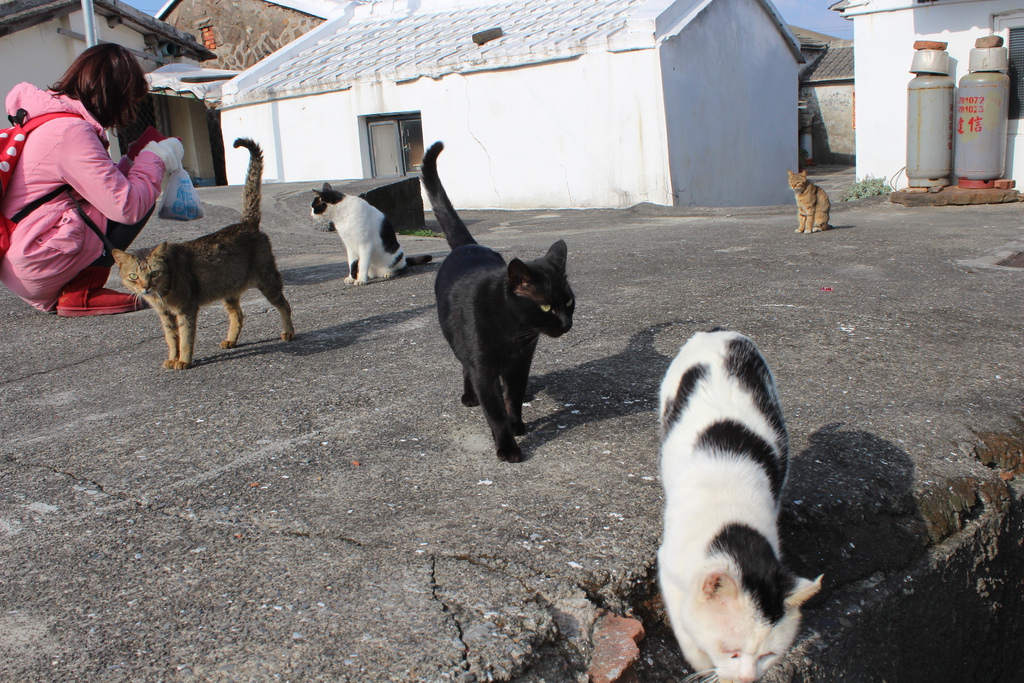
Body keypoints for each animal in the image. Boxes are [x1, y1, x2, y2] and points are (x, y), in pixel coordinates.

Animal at [419, 143, 573, 464]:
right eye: (545, 307)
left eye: (568, 302)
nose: (567, 324)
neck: (513, 329)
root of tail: (469, 245)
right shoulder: (483, 366)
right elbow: (495, 411)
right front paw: (507, 446)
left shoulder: (521, 362)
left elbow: (513, 397)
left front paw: (517, 424)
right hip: (457, 339)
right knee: (464, 365)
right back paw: (469, 396)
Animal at [655, 327, 823, 679]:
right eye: (730, 651)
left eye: (768, 655)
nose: (748, 678)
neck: (733, 525)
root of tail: (717, 331)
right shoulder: (669, 565)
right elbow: (683, 622)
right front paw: (701, 664)